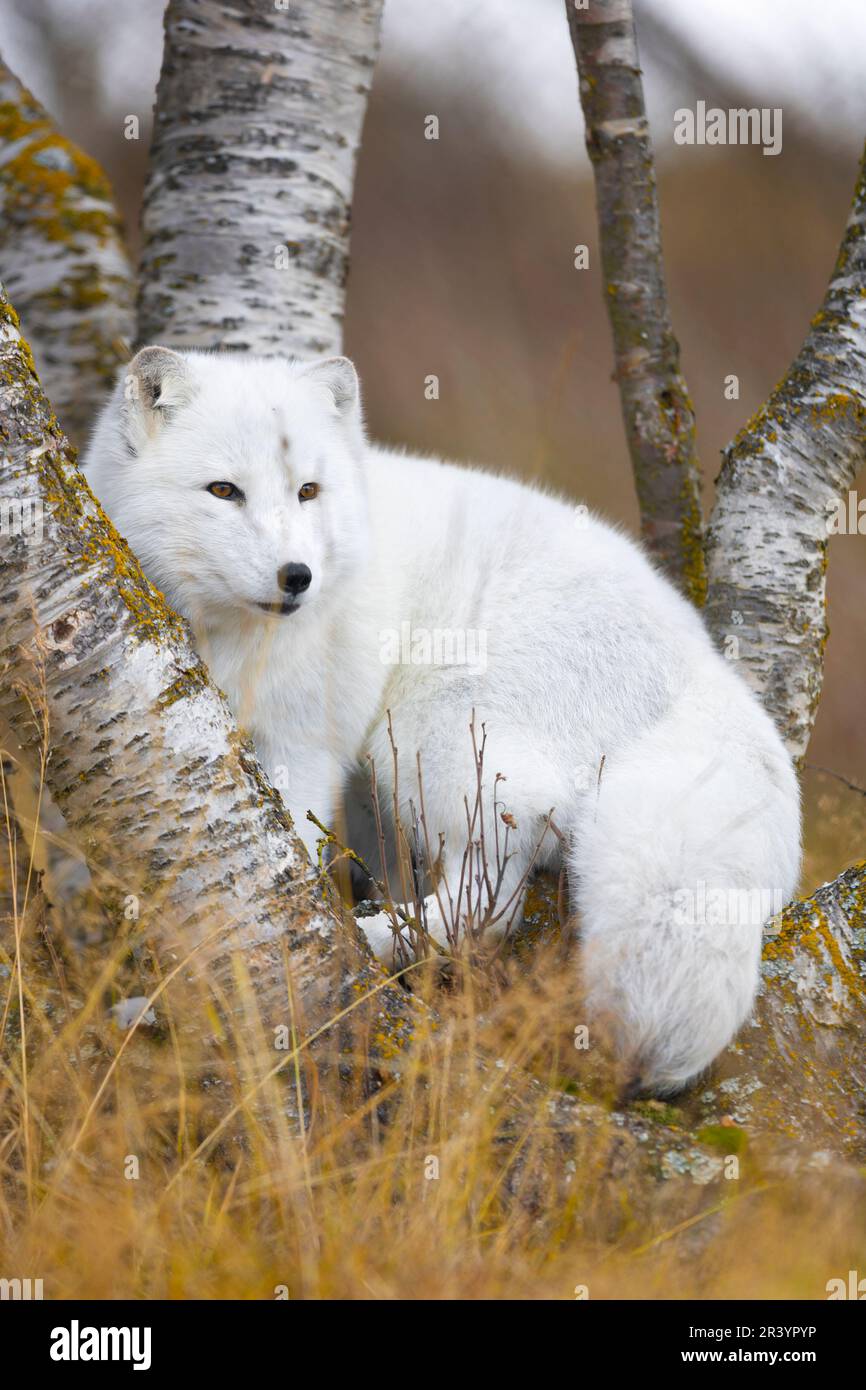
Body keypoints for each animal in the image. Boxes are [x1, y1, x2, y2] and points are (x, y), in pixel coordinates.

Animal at [83, 345, 801, 1095]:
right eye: (223, 491)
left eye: (308, 491)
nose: (297, 576)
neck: (222, 638)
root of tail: (702, 668)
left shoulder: (301, 742)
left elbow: (274, 874)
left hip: (434, 737)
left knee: (486, 907)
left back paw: (369, 943)